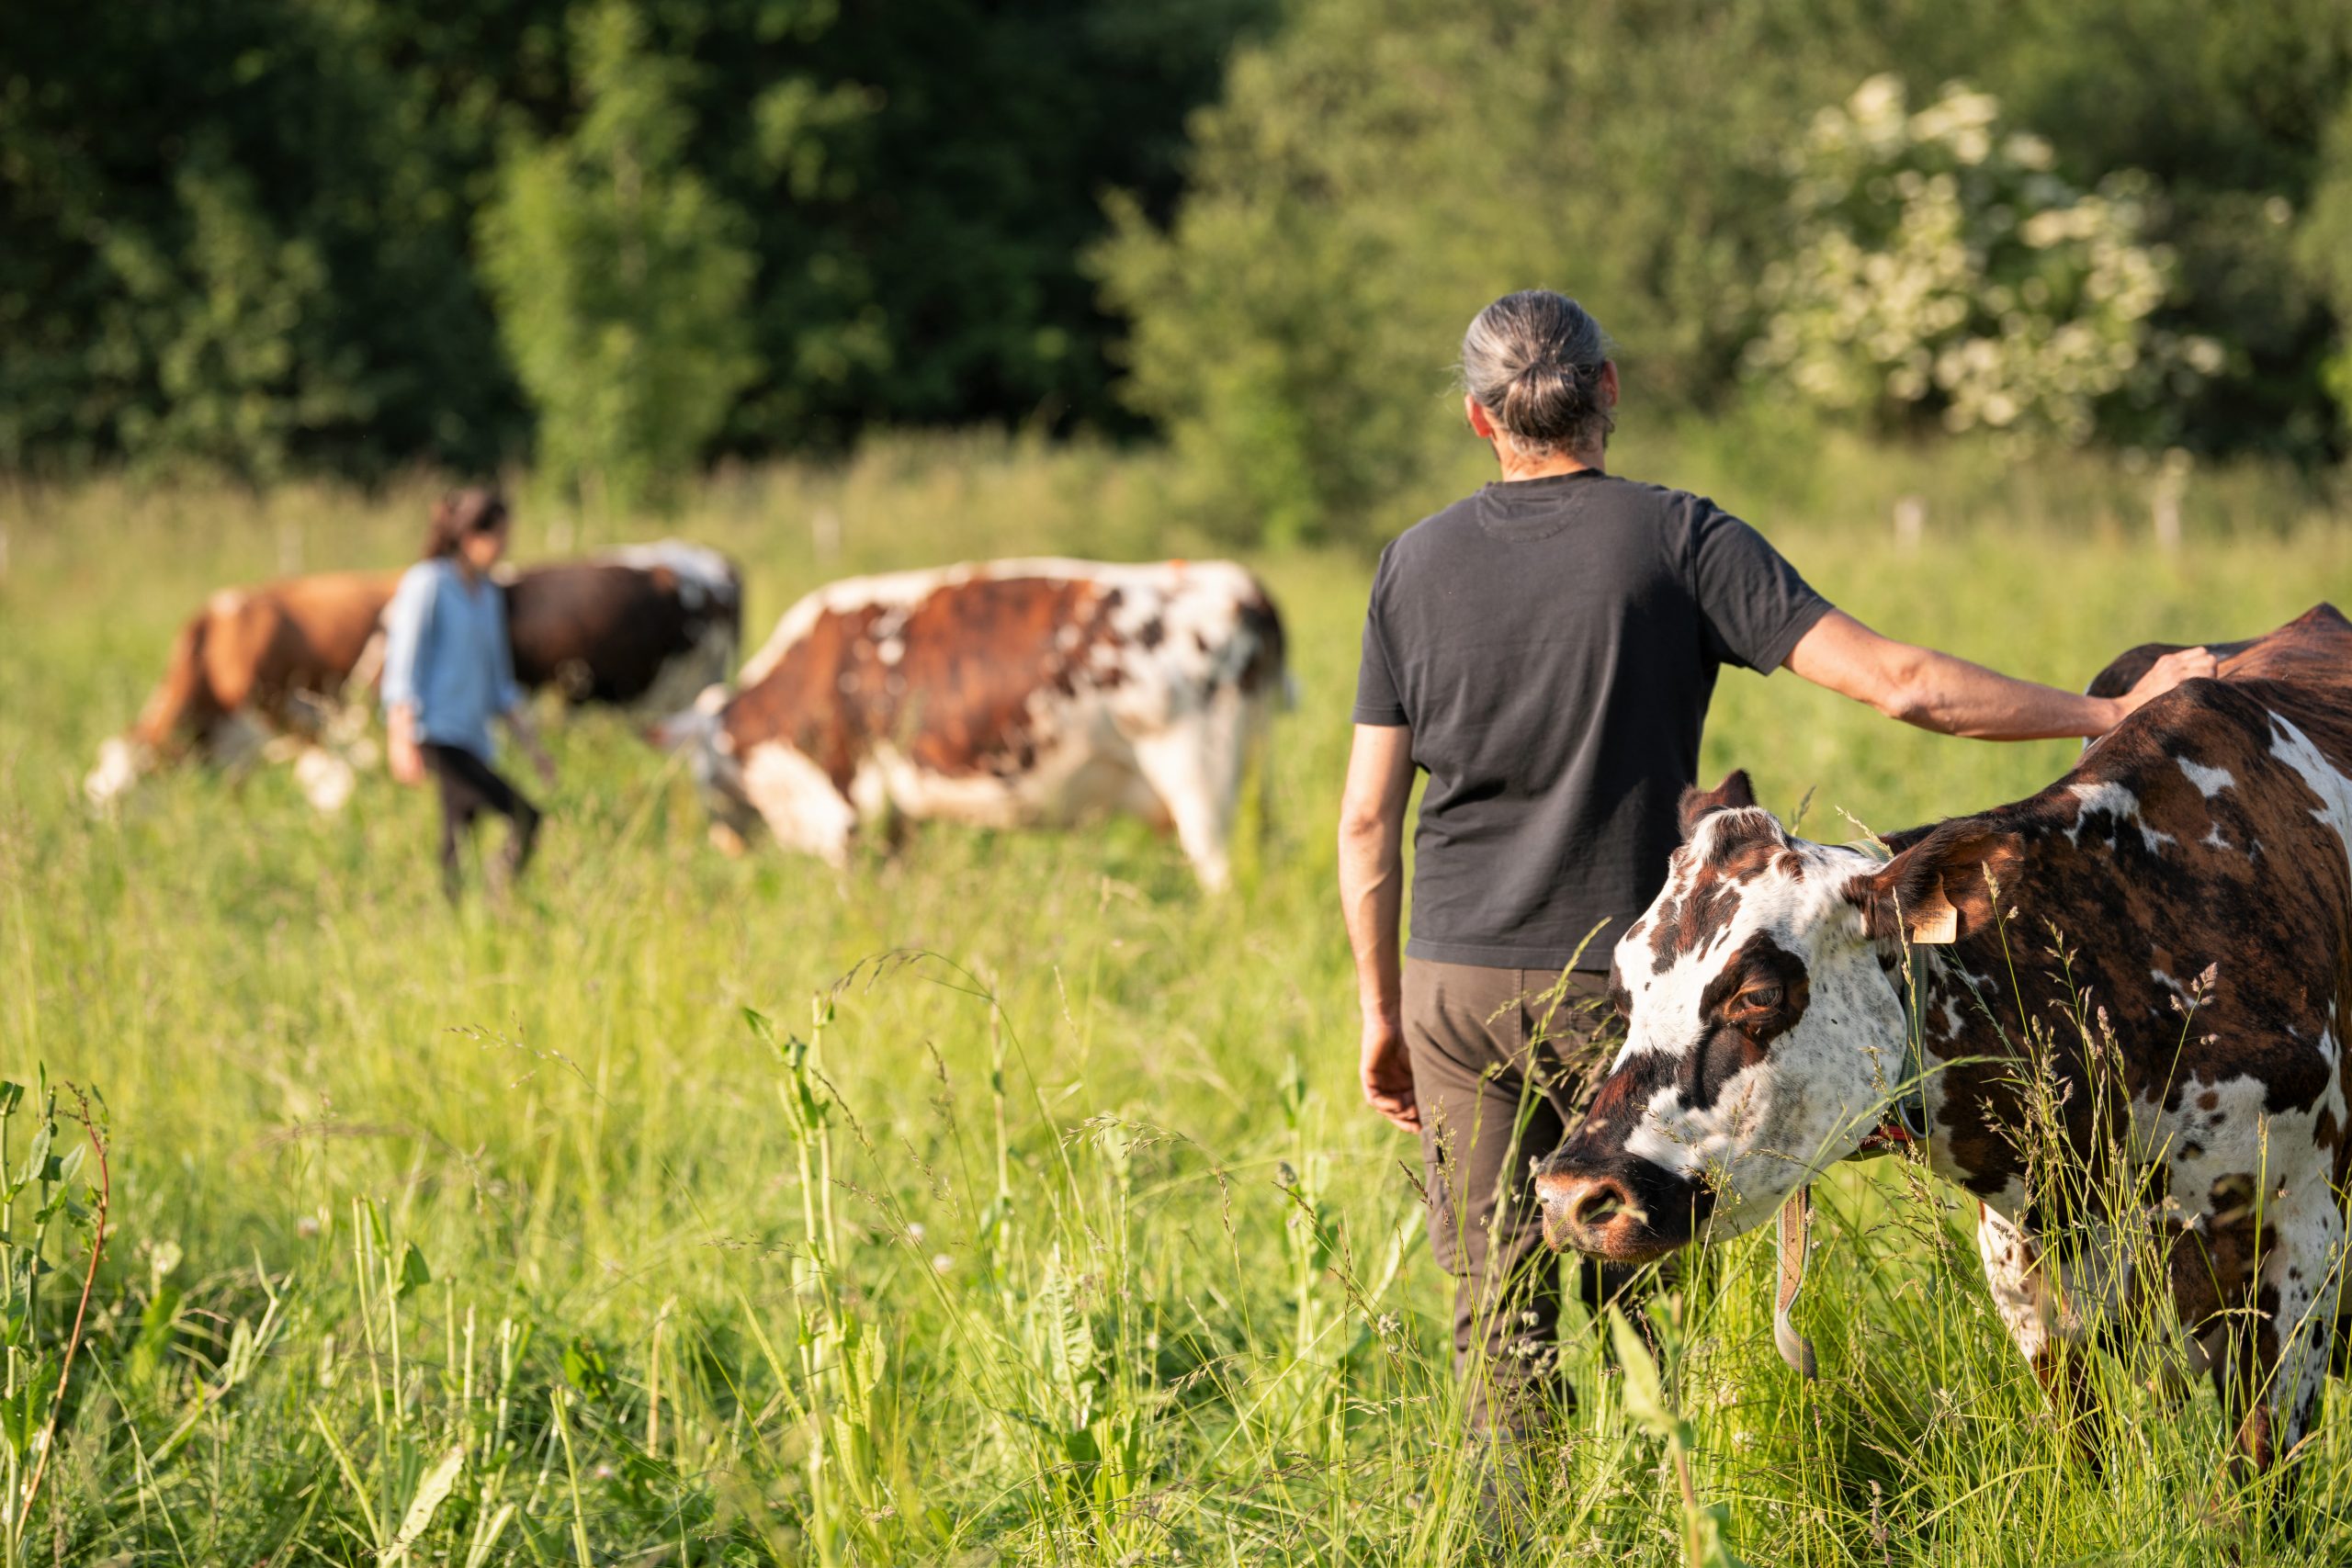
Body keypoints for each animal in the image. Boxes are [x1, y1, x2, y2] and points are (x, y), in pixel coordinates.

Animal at [658, 557, 1288, 888]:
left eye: (700, 772)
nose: (722, 842)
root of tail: (1234, 582)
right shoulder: (893, 809)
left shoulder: (839, 803)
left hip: (1200, 782)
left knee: (1221, 876)